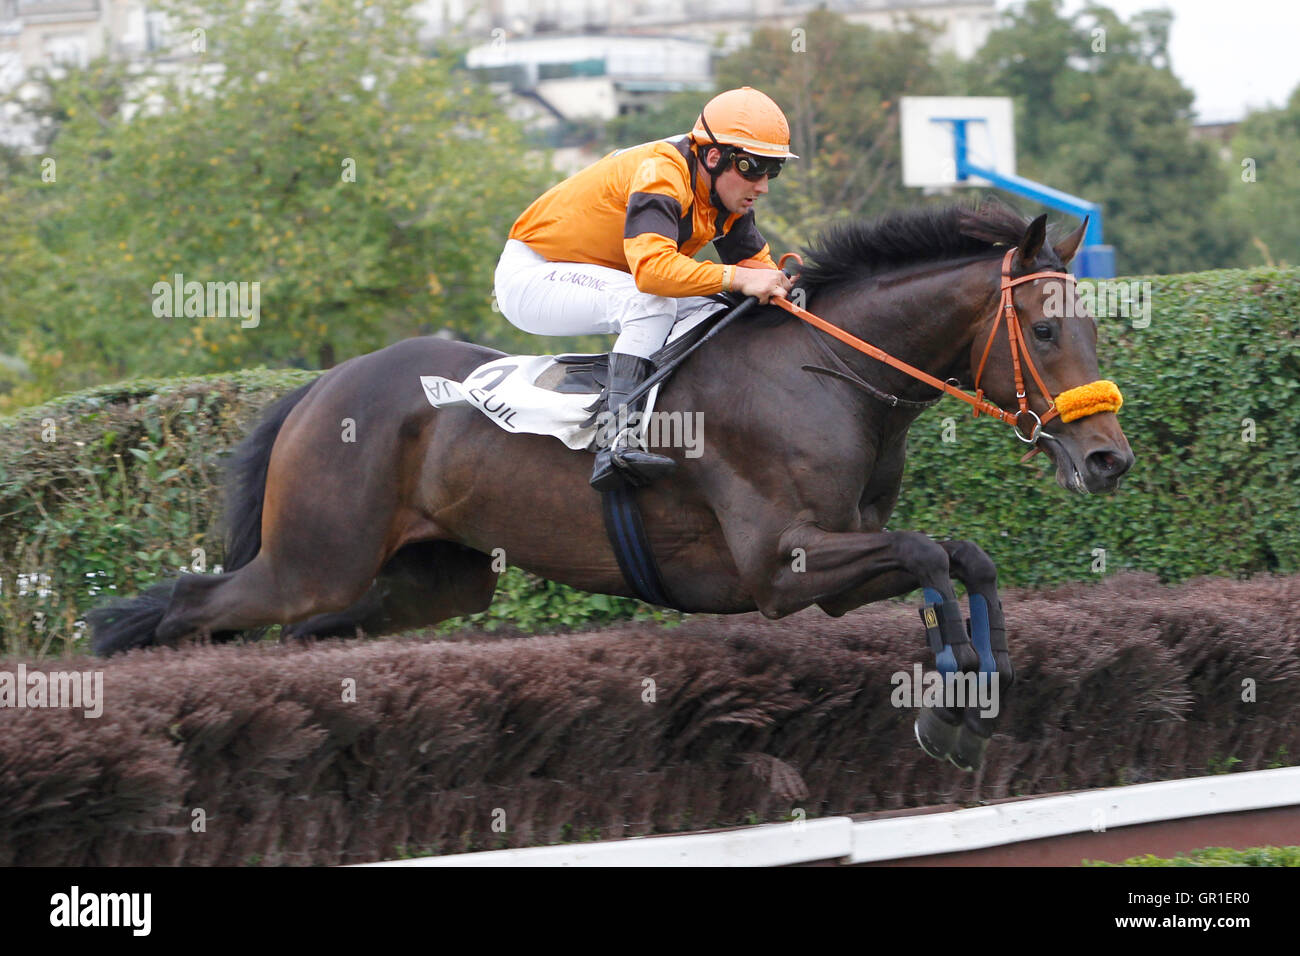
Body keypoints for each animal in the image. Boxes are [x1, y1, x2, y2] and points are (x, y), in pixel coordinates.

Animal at [89, 200, 1128, 770]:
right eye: (1043, 332)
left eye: (1094, 325)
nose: (1108, 458)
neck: (824, 374)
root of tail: (322, 386)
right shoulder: (781, 567)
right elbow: (928, 555)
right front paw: (949, 708)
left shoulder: (831, 566)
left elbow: (965, 557)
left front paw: (983, 695)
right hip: (312, 560)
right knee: (188, 610)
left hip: (429, 579)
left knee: (310, 638)